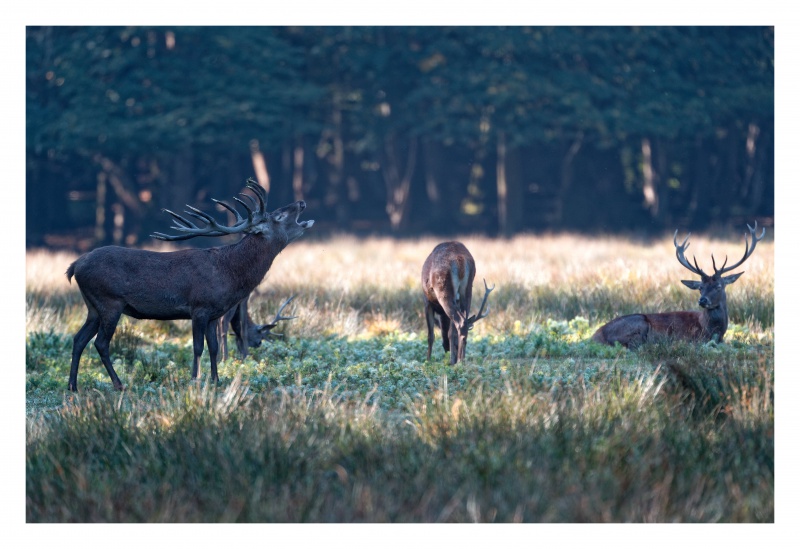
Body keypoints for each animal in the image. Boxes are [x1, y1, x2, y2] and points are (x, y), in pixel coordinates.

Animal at [64, 177, 314, 390]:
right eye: (278, 216)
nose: (301, 202)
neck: (229, 274)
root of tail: (75, 265)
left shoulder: (214, 313)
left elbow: (214, 347)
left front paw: (216, 380)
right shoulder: (199, 307)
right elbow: (197, 347)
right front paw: (194, 380)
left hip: (93, 306)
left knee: (79, 339)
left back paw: (73, 386)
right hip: (109, 301)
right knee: (101, 343)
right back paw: (118, 384)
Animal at [592, 222, 764, 346]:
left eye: (718, 286)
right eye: (700, 288)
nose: (702, 300)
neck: (712, 332)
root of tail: (594, 336)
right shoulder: (691, 339)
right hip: (638, 323)